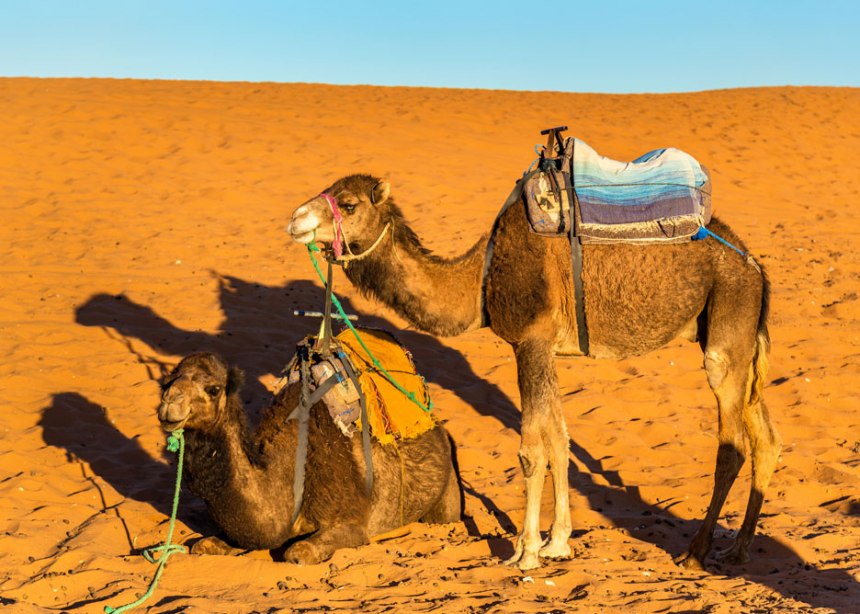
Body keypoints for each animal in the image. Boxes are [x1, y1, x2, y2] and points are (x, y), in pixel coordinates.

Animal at [157, 354, 460, 564]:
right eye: (166, 382)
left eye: (213, 389)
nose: (170, 403)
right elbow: (204, 545)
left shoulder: (351, 523)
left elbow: (298, 552)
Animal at [288, 172, 780, 572]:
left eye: (349, 204)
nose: (294, 219)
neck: (480, 277)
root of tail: (755, 265)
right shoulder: (547, 349)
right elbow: (559, 440)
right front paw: (558, 543)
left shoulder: (529, 341)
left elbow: (531, 450)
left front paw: (524, 552)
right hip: (737, 338)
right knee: (766, 440)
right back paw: (738, 548)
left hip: (726, 323)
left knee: (732, 446)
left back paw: (696, 552)